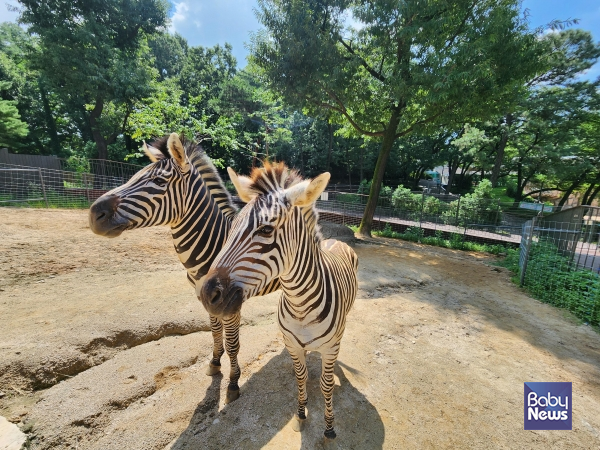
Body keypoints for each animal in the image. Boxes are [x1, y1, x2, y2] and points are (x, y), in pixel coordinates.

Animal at [88, 134, 278, 404]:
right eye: (134, 175)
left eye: (158, 181)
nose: (94, 214)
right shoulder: (205, 298)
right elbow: (215, 333)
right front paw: (215, 363)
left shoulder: (231, 304)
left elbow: (232, 343)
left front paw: (233, 383)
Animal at [199, 162, 358, 440]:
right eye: (232, 227)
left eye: (266, 230)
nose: (207, 295)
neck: (300, 304)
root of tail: (335, 240)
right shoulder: (292, 344)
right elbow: (300, 378)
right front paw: (301, 414)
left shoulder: (329, 349)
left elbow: (327, 386)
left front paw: (329, 426)